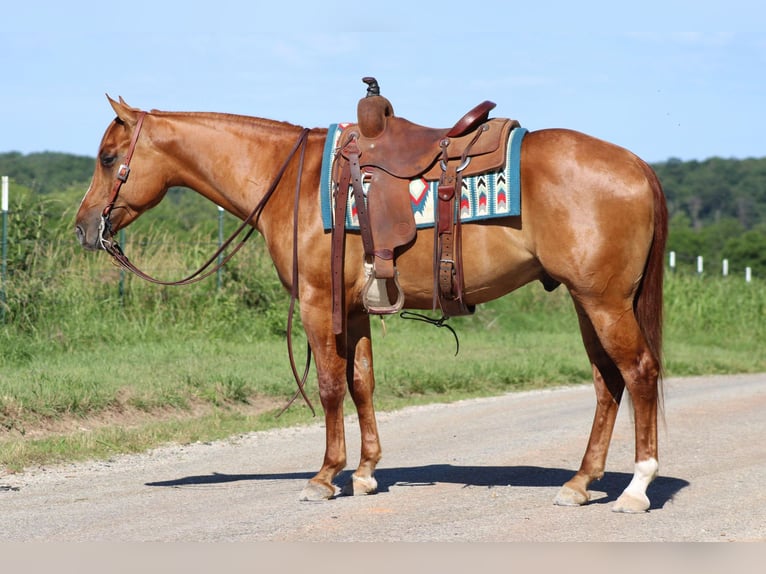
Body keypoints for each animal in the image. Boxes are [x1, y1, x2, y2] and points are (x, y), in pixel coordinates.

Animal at [75, 97, 668, 516]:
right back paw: (580, 483)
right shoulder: (356, 309)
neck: (290, 179)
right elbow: (362, 382)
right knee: (607, 383)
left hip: (605, 302)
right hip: (587, 302)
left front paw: (325, 477)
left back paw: (636, 487)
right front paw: (365, 473)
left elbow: (329, 385)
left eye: (108, 158)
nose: (83, 227)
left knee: (638, 373)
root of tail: (637, 164)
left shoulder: (318, 303)